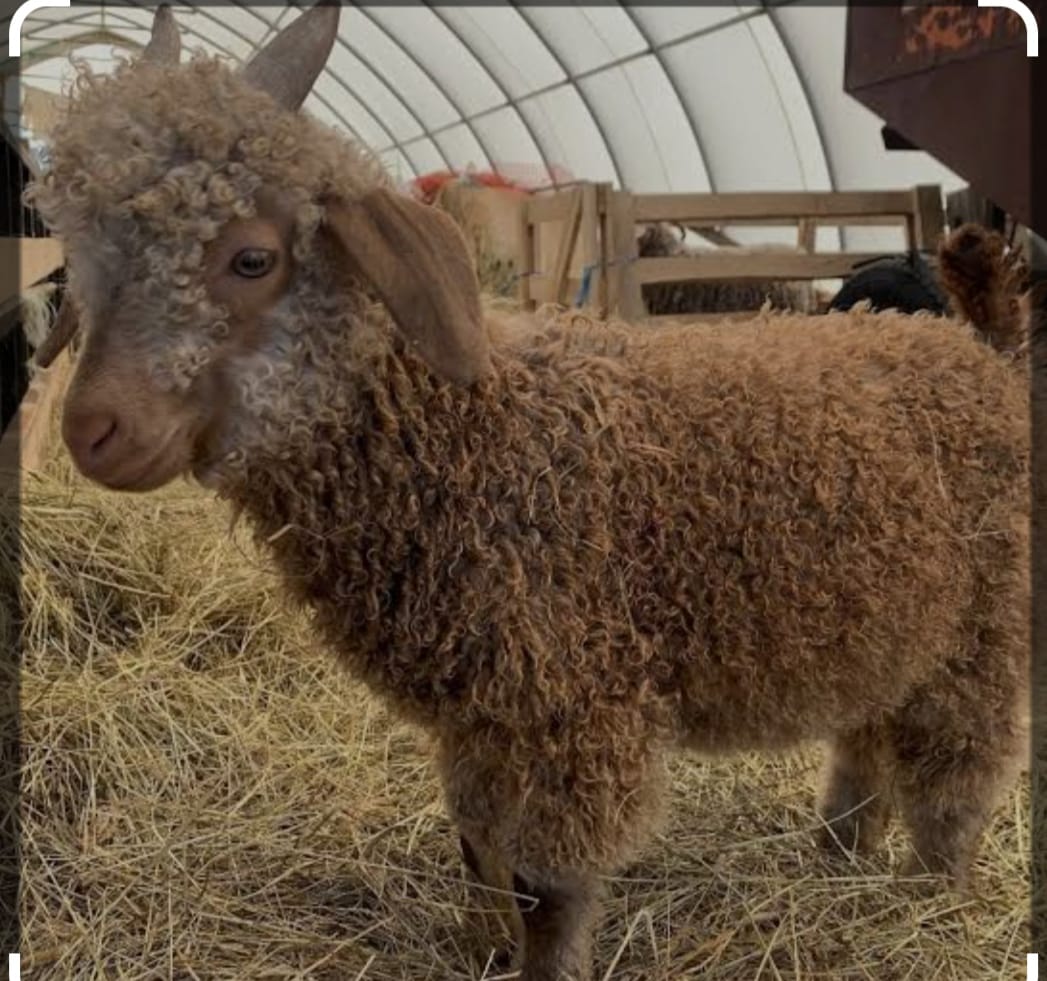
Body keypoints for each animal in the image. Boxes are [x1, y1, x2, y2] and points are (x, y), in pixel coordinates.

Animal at [28, 5, 1030, 979]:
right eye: (82, 249)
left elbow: (549, 884)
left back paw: (928, 906)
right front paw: (480, 947)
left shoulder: (572, 699)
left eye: (251, 258)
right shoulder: (476, 708)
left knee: (956, 778)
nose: (94, 430)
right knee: (863, 745)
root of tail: (976, 345)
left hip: (980, 630)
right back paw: (836, 864)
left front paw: (543, 959)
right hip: (889, 625)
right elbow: (477, 842)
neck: (474, 432)